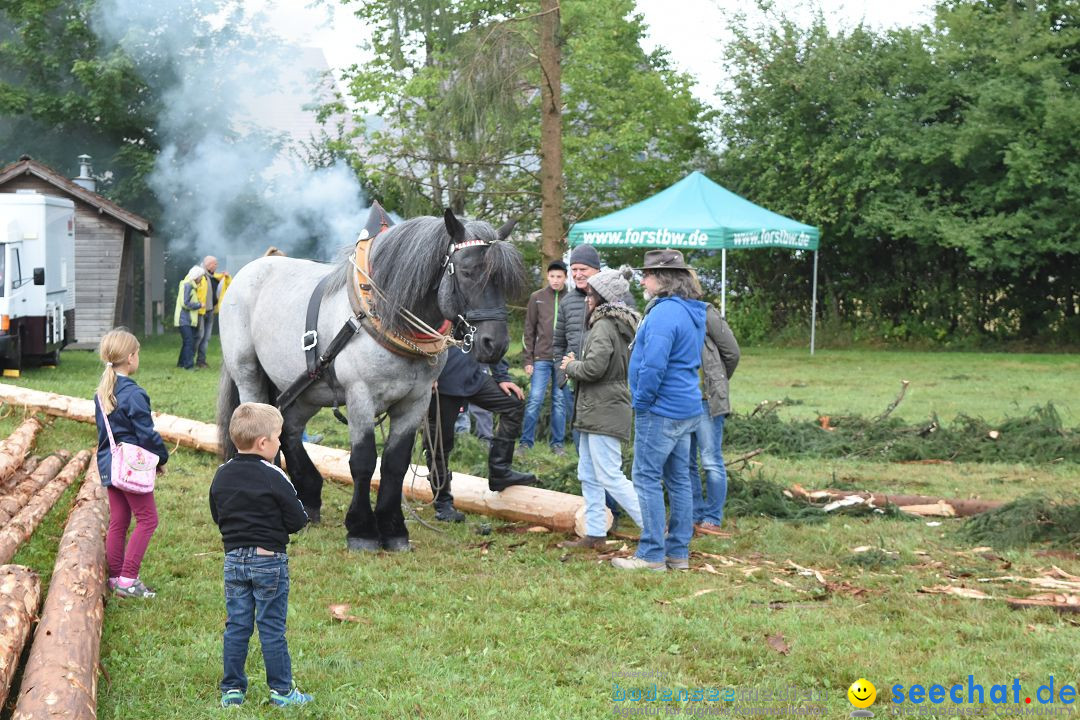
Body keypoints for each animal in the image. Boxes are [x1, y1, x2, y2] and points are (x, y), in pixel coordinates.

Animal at [217, 208, 524, 552]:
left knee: (289, 430)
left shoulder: (416, 400)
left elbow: (395, 464)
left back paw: (308, 497)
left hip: (307, 388)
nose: (494, 344)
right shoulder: (360, 395)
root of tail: (249, 270)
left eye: (503, 281)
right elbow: (363, 461)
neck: (384, 316)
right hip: (249, 374)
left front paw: (393, 530)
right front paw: (362, 530)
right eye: (469, 271)